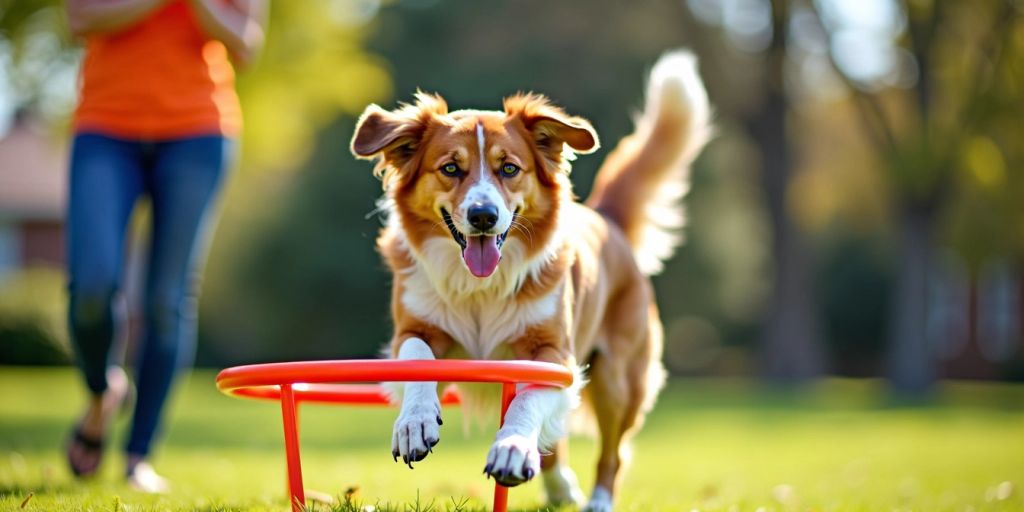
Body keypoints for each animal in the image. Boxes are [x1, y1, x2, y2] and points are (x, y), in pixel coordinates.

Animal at [348, 48, 708, 512]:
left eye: (508, 168)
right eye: (450, 168)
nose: (484, 216)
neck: (480, 288)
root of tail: (607, 219)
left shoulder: (552, 352)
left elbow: (528, 401)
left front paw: (512, 447)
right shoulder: (415, 330)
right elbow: (417, 358)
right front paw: (414, 423)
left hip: (619, 379)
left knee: (612, 453)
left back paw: (597, 499)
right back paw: (559, 489)